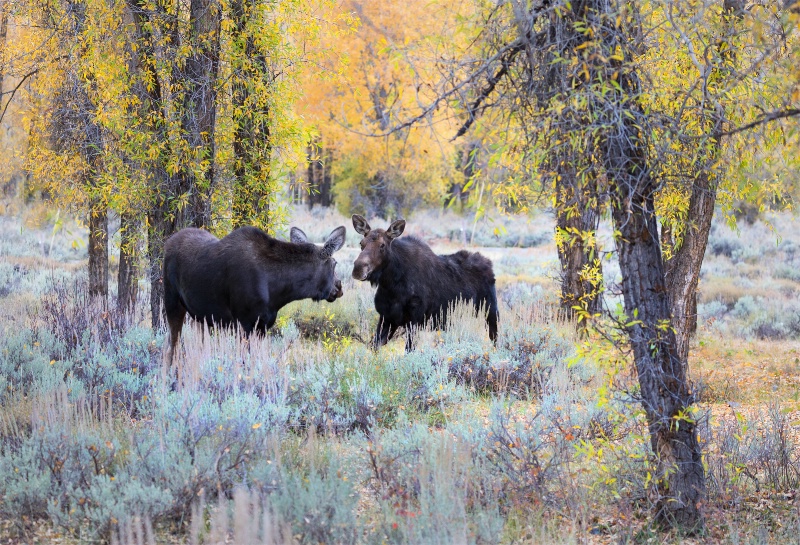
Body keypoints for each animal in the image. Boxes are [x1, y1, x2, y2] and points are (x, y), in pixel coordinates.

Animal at [164, 223, 346, 364]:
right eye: (335, 263)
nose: (339, 288)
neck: (278, 292)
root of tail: (168, 241)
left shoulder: (262, 326)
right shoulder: (244, 324)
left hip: (200, 315)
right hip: (172, 302)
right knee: (172, 347)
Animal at [354, 215, 496, 350]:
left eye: (382, 245)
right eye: (361, 243)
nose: (358, 268)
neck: (390, 285)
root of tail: (489, 263)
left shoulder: (414, 321)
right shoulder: (387, 318)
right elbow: (373, 347)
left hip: (491, 313)